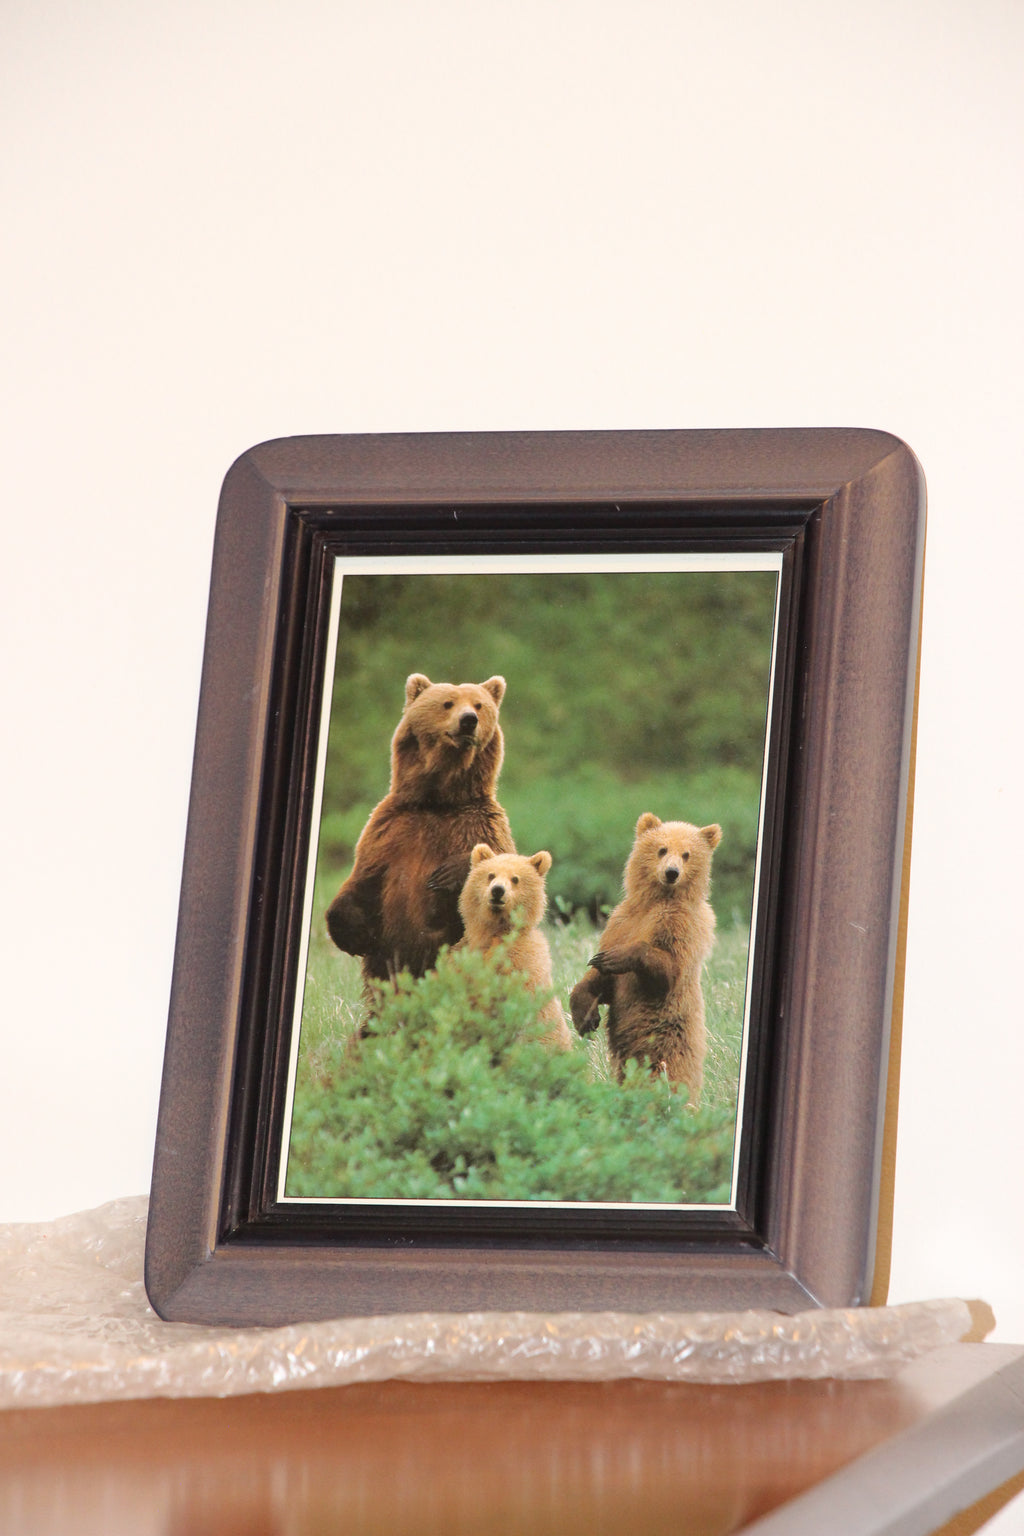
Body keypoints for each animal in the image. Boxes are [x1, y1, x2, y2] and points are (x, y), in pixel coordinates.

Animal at [325, 673, 515, 986]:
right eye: (448, 703)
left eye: (479, 705)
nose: (469, 720)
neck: (438, 801)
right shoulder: (389, 829)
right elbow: (364, 878)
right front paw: (354, 936)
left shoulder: (481, 823)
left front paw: (446, 874)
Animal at [569, 813, 721, 1105]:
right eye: (662, 849)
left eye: (686, 854)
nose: (671, 873)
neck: (656, 900)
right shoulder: (621, 923)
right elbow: (599, 983)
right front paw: (586, 1017)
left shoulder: (681, 928)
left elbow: (666, 970)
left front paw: (615, 958)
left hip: (667, 1041)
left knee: (667, 1078)